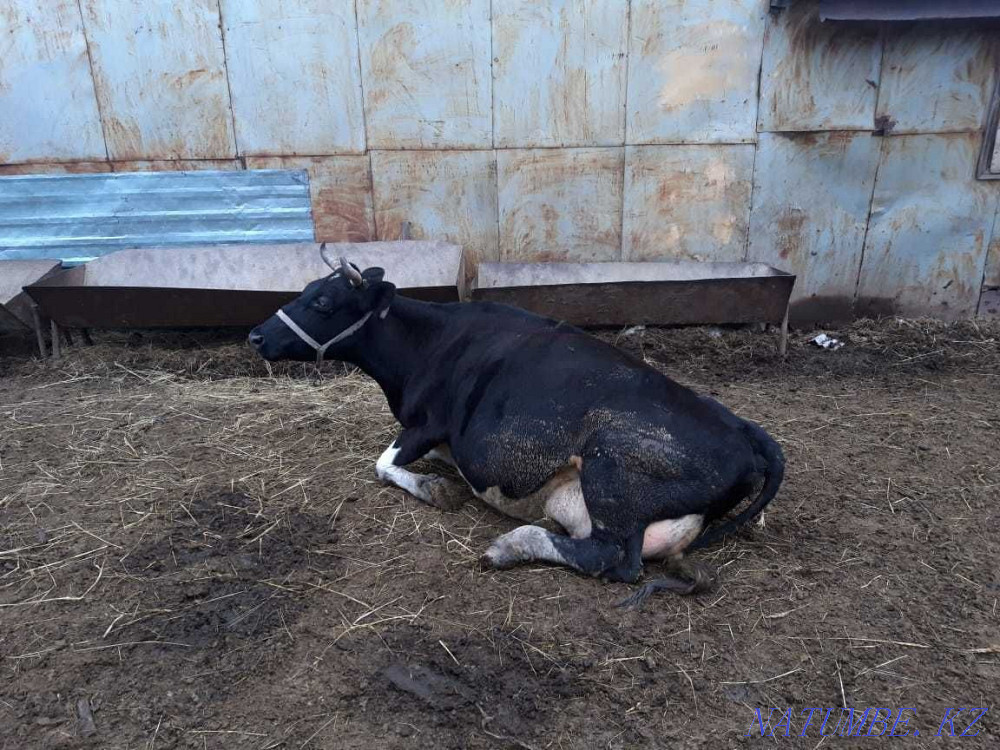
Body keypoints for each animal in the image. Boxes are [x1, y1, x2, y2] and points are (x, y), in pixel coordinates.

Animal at [248, 246, 785, 606]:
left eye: (322, 301)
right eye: (303, 290)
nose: (255, 335)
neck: (427, 345)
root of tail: (744, 430)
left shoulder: (428, 422)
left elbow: (381, 463)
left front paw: (437, 490)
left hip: (613, 466)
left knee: (611, 558)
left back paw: (509, 545)